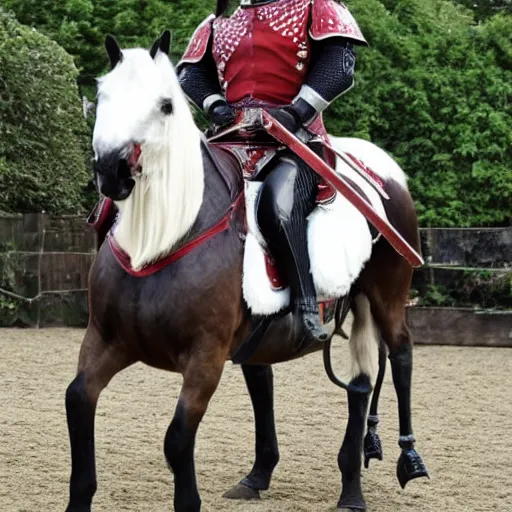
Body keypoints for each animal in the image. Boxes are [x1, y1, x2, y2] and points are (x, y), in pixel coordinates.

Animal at [66, 33, 430, 512]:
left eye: (165, 105)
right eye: (103, 94)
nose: (113, 170)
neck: (162, 238)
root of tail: (384, 173)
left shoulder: (204, 357)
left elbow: (177, 440)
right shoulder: (106, 341)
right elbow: (77, 402)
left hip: (387, 295)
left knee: (400, 355)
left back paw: (405, 460)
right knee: (352, 384)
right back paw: (302, 480)